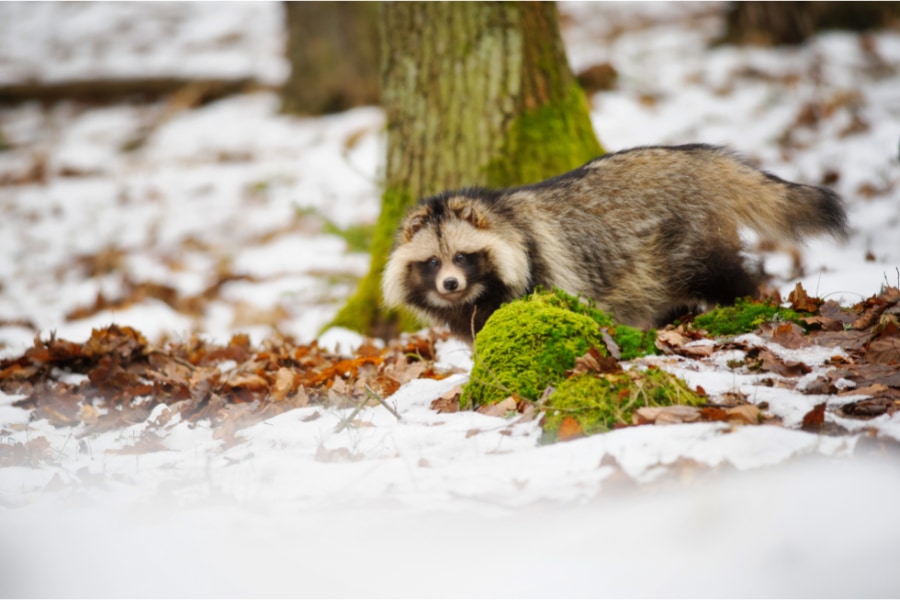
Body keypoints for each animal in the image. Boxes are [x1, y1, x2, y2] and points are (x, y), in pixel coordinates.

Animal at [384, 144, 848, 342]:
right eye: (432, 262)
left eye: (463, 257)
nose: (450, 284)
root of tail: (698, 158)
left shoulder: (539, 268)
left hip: (687, 236)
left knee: (722, 273)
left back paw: (747, 302)